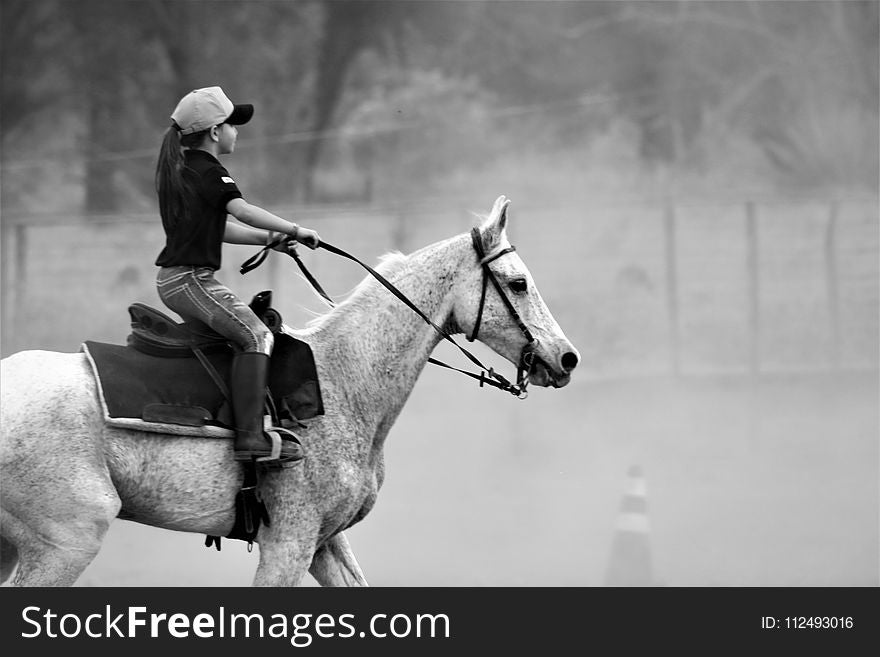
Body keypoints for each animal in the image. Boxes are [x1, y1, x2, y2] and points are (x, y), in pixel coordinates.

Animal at [1, 195, 576, 584]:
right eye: (519, 283)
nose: (566, 357)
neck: (345, 382)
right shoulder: (289, 543)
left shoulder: (326, 542)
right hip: (67, 540)